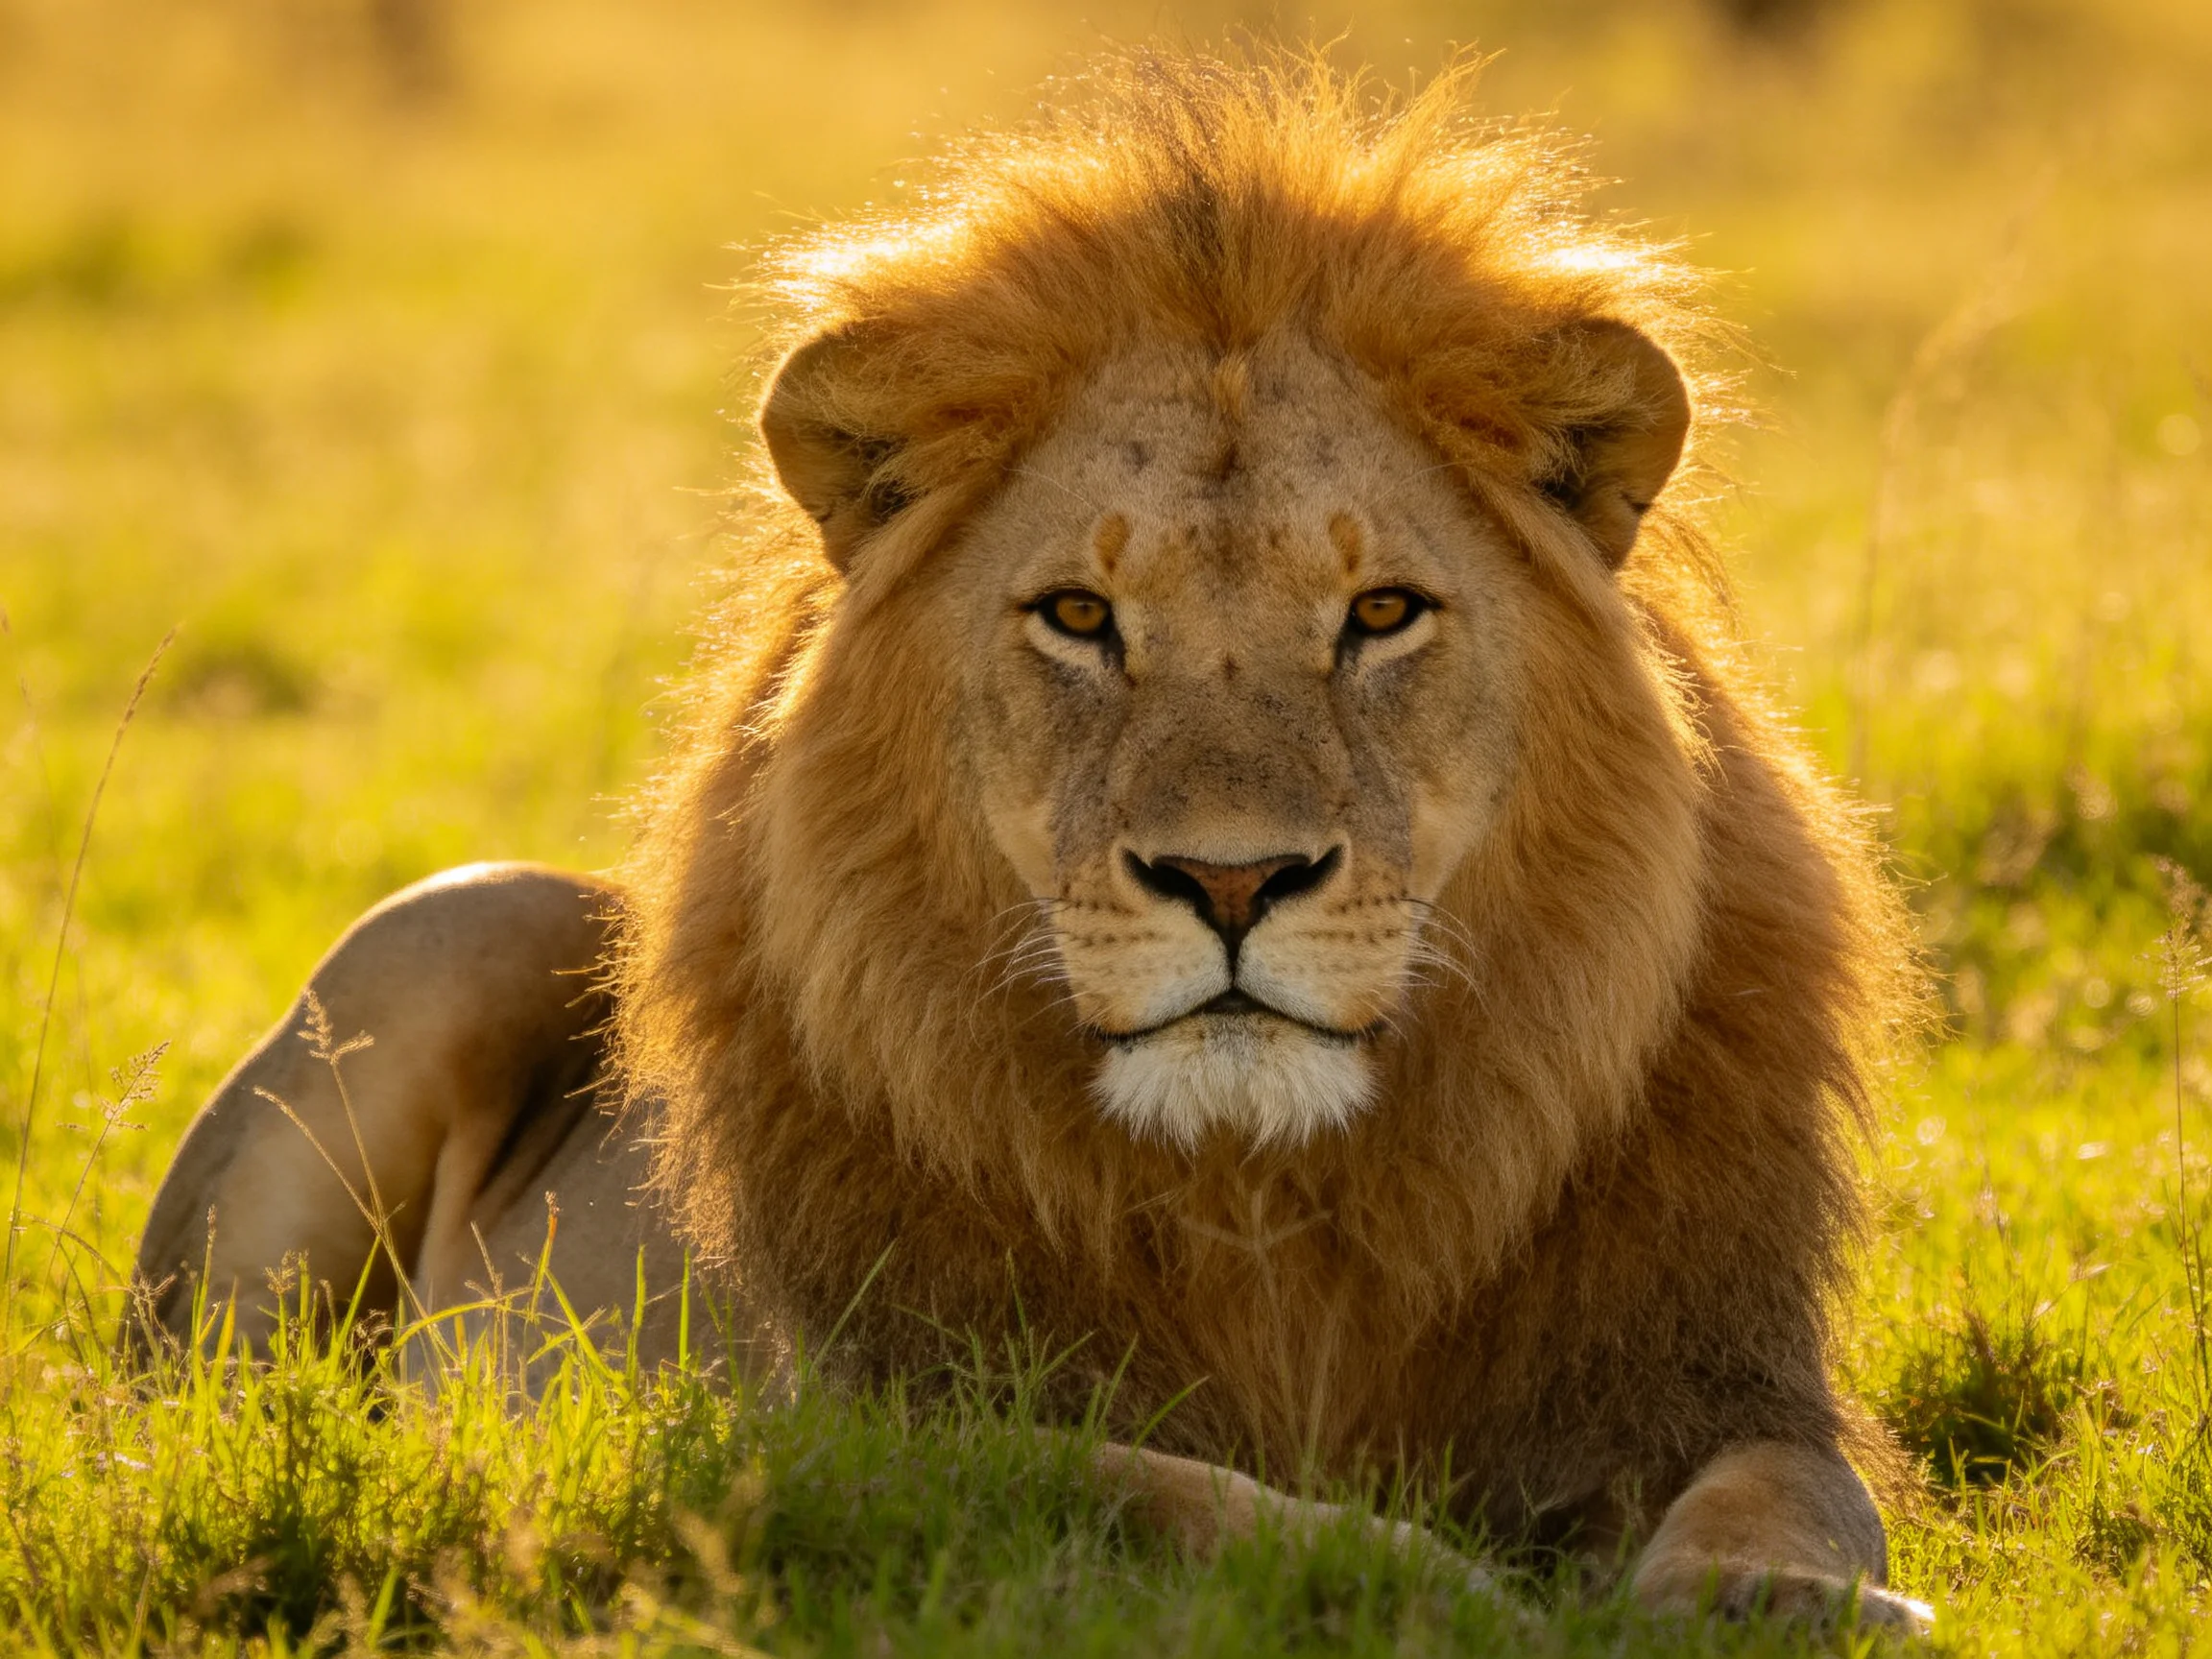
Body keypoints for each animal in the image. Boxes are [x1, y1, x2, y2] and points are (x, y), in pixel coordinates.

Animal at [131, 53, 1930, 1630]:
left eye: (1379, 614)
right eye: (1078, 615)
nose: (1229, 880)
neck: (1265, 1197)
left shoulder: (1708, 1362)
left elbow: (1793, 1490)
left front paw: (1766, 1600)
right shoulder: (871, 1423)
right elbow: (1160, 1492)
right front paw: (1429, 1589)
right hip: (451, 936)